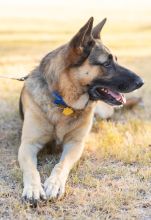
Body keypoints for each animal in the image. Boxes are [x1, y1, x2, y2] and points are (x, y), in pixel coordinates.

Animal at [18, 17, 143, 206]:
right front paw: (33, 188)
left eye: (116, 60)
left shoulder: (75, 144)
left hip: (104, 112)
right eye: (107, 63)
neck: (64, 103)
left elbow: (61, 165)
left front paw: (54, 183)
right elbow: (32, 169)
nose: (141, 82)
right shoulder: (28, 145)